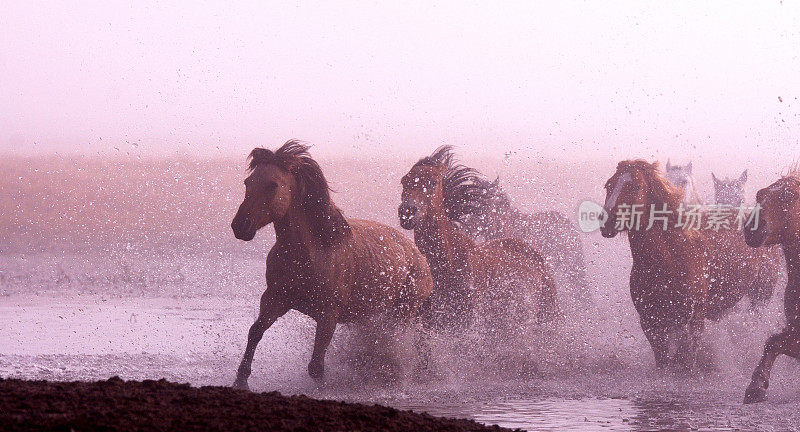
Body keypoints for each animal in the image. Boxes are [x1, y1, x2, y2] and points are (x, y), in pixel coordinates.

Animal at [230, 140, 432, 390]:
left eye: (273, 185)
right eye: (248, 182)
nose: (240, 226)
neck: (308, 255)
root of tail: (421, 259)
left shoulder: (328, 315)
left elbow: (316, 366)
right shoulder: (275, 299)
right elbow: (255, 332)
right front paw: (241, 379)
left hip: (403, 312)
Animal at [600, 160, 708, 370]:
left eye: (635, 186)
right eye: (609, 185)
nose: (607, 221)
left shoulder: (690, 320)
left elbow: (685, 358)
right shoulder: (650, 322)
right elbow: (663, 360)